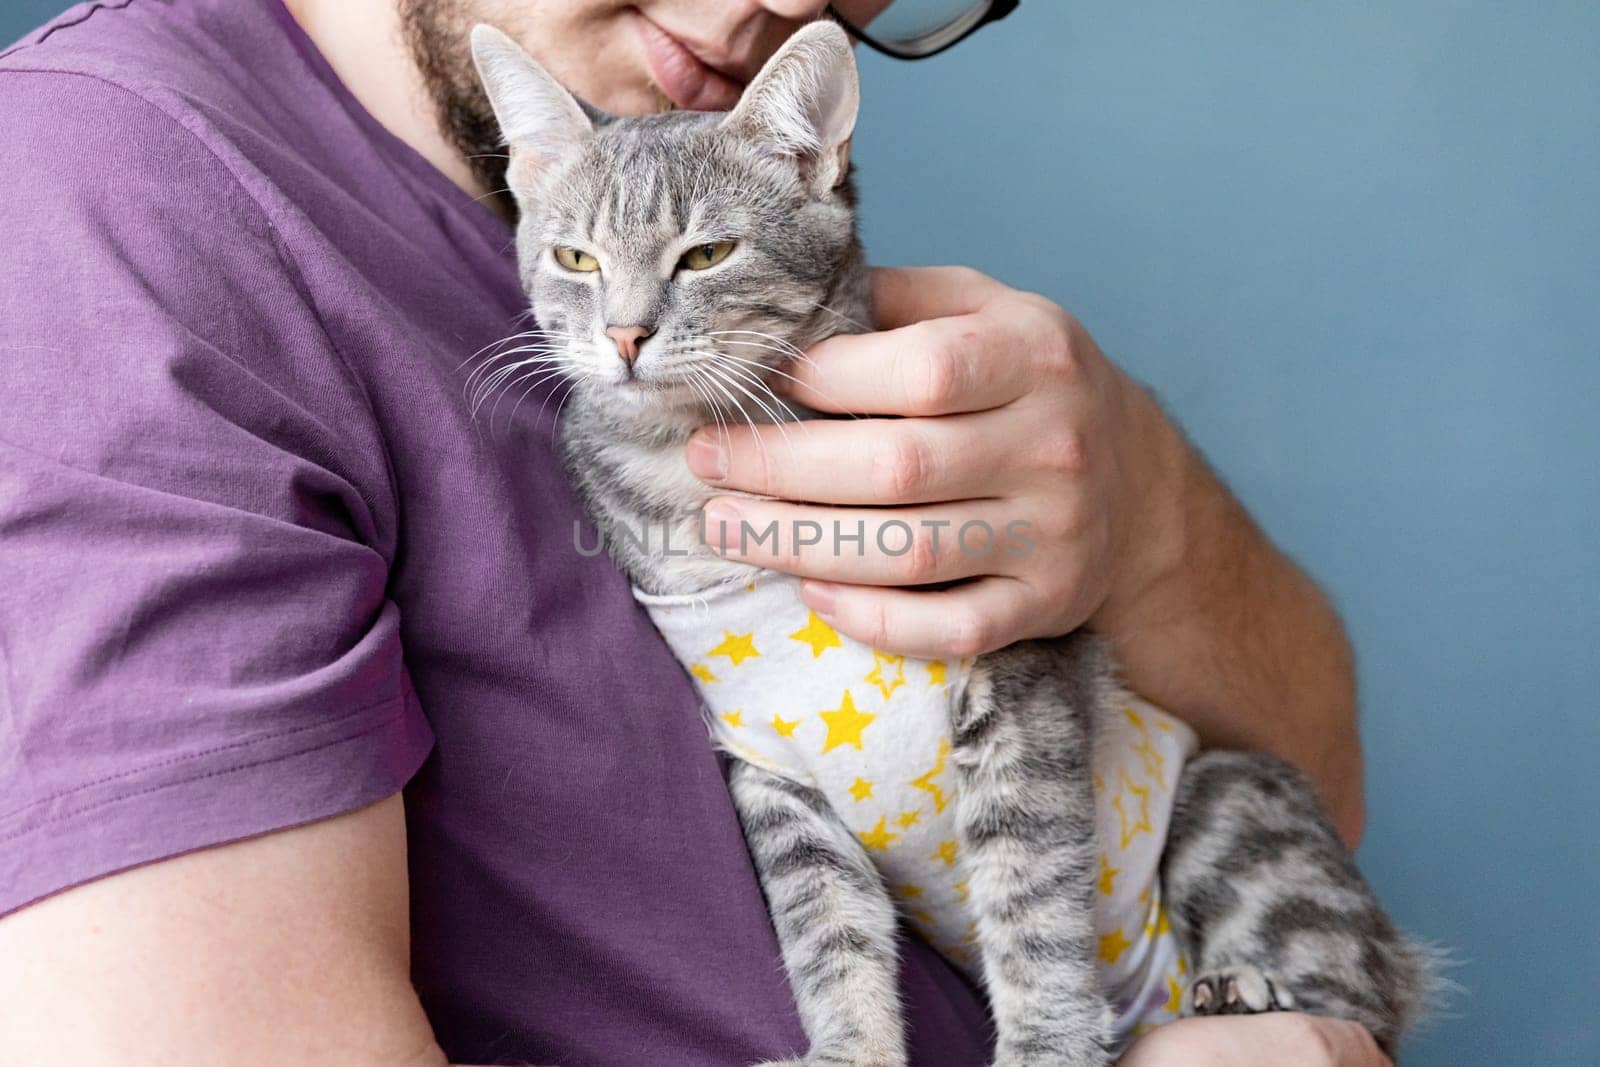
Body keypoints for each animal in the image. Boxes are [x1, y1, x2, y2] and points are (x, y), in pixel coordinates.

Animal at [467, 18, 1433, 1067]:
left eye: (706, 253)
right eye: (576, 259)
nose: (625, 335)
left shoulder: (1017, 681)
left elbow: (1030, 894)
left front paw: (1047, 1043)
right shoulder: (770, 772)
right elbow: (827, 927)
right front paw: (850, 1048)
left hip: (1237, 798)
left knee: (1350, 990)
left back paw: (1243, 994)